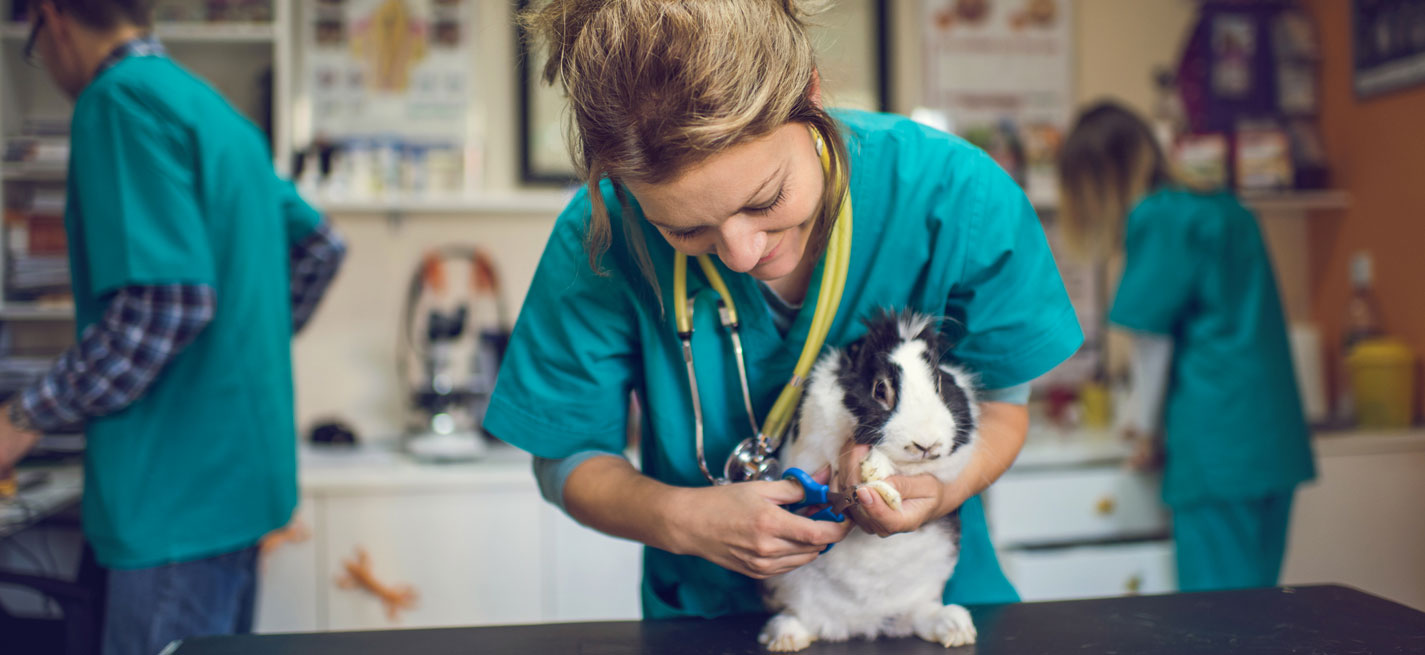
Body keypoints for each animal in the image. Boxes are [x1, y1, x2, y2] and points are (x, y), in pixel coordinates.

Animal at [758, 308, 980, 652]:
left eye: (941, 384)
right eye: (880, 390)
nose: (926, 444)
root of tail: (864, 622)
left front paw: (880, 475)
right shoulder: (817, 447)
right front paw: (877, 469)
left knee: (922, 614)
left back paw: (955, 628)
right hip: (793, 588)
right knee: (801, 617)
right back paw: (786, 637)